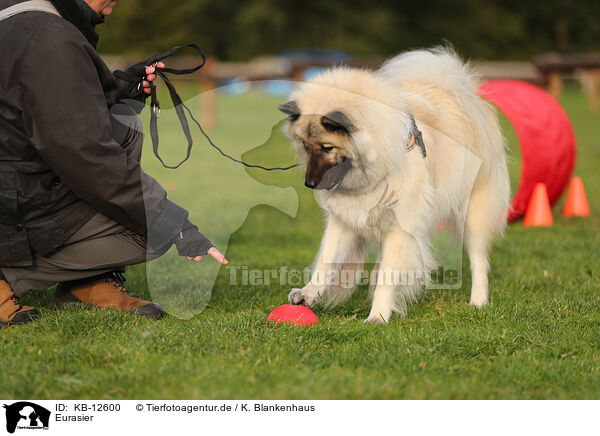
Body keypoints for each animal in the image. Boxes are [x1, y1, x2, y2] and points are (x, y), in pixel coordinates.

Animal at [278, 47, 508, 324]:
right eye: (305, 145)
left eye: (327, 148)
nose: (310, 183)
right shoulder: (344, 222)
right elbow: (327, 261)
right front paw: (308, 293)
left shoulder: (399, 230)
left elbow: (387, 276)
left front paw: (377, 316)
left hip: (471, 216)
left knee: (478, 261)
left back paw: (477, 303)